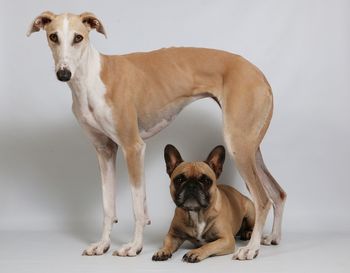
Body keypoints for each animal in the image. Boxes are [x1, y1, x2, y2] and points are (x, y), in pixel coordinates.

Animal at [28, 11, 286, 258]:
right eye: (53, 37)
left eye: (78, 38)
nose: (64, 73)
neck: (91, 79)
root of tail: (260, 74)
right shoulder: (105, 151)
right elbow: (108, 207)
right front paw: (102, 245)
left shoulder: (133, 147)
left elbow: (137, 207)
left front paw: (134, 247)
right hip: (250, 149)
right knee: (278, 193)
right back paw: (272, 238)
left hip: (238, 146)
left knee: (263, 199)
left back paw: (251, 249)